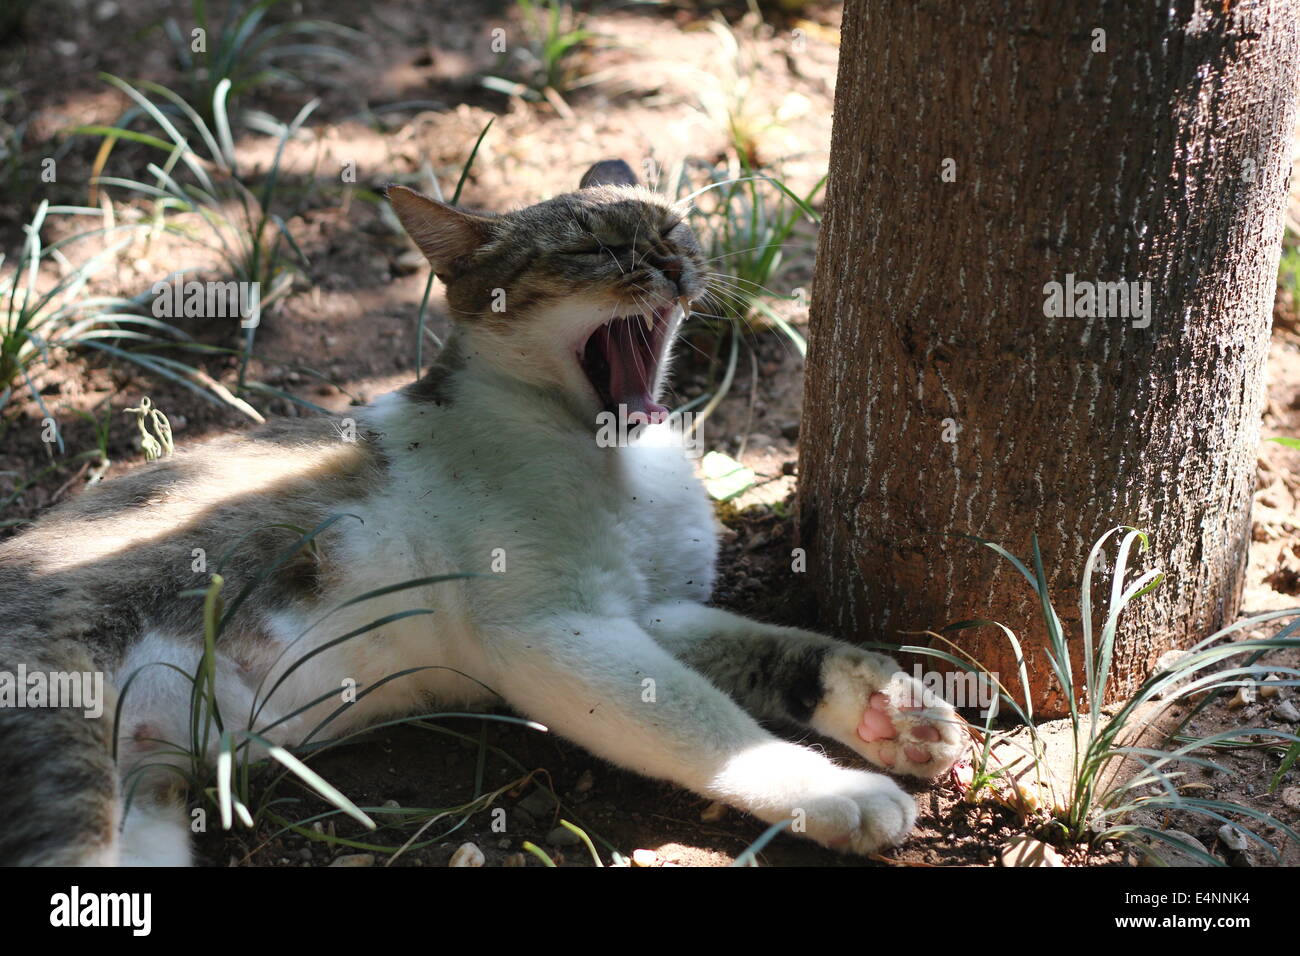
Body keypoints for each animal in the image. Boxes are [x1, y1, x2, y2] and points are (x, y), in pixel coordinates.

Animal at [0, 158, 956, 868]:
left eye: (673, 227)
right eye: (597, 247)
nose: (673, 264)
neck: (613, 456)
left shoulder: (649, 609)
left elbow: (774, 649)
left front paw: (894, 712)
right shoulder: (551, 629)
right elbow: (706, 724)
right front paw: (843, 792)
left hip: (149, 802)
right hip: (64, 758)